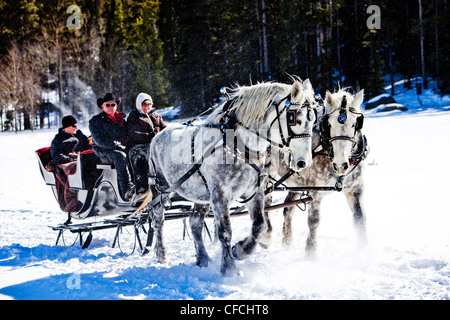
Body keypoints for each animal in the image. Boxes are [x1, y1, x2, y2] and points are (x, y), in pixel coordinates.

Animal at [146, 79, 318, 274]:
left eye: (313, 119)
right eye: (293, 118)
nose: (303, 162)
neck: (239, 147)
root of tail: (159, 134)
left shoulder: (254, 192)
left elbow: (259, 225)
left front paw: (242, 250)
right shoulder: (220, 196)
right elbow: (225, 232)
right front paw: (228, 268)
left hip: (201, 195)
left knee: (195, 222)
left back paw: (203, 258)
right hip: (160, 188)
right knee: (158, 220)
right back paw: (162, 255)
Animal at [266, 87, 368, 255]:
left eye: (355, 124)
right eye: (329, 124)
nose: (341, 164)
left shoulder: (355, 189)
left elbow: (360, 218)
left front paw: (364, 249)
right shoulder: (316, 191)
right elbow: (314, 221)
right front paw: (310, 251)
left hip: (296, 183)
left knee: (288, 208)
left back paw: (287, 241)